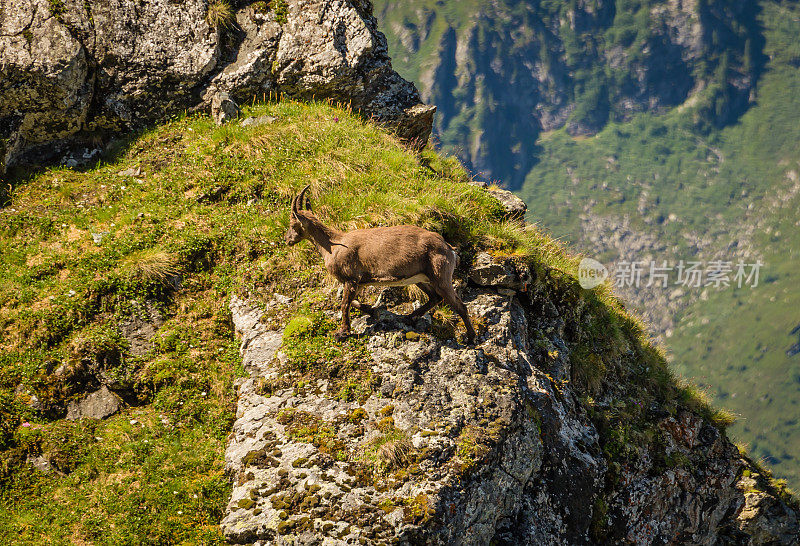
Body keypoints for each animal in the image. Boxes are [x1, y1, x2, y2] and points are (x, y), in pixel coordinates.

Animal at [284, 185, 476, 342]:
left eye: (292, 224)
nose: (287, 240)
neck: (332, 246)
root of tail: (449, 248)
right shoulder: (360, 282)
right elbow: (351, 302)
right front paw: (371, 310)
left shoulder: (351, 279)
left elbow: (344, 304)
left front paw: (342, 333)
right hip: (420, 278)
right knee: (435, 297)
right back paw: (409, 317)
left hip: (440, 276)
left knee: (459, 305)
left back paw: (471, 338)